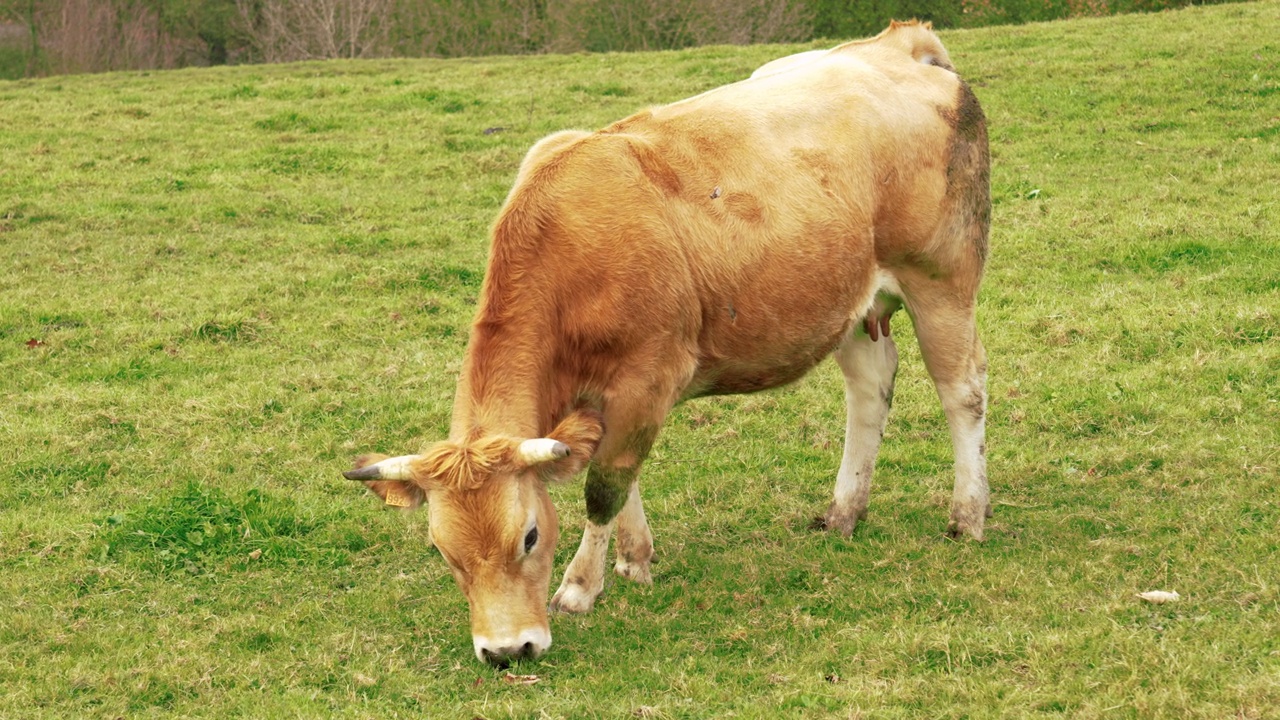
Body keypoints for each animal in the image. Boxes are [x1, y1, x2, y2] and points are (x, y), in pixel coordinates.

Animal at [345, 19, 993, 666]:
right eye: (442, 550)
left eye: (528, 536)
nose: (507, 651)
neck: (568, 247)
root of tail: (897, 44)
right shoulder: (606, 398)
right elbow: (617, 471)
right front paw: (634, 558)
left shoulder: (647, 377)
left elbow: (606, 485)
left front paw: (580, 586)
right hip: (850, 303)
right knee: (870, 388)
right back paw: (843, 512)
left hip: (941, 281)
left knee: (962, 389)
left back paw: (968, 515)